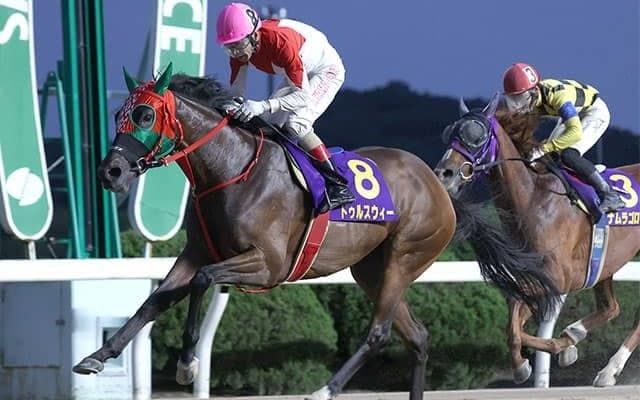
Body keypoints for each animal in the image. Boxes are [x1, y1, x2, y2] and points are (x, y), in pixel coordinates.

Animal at [72, 64, 559, 399]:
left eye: (145, 115)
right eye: (118, 114)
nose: (110, 172)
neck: (230, 171)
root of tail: (440, 186)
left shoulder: (267, 265)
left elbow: (204, 282)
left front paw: (187, 364)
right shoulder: (194, 253)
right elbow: (155, 300)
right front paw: (96, 357)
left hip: (406, 256)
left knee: (379, 333)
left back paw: (325, 388)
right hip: (371, 269)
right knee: (418, 337)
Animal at [434, 92, 640, 387]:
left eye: (477, 135)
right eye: (450, 133)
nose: (444, 174)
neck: (533, 198)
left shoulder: (560, 278)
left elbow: (517, 322)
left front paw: (545, 354)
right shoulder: (536, 274)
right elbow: (514, 313)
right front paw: (555, 351)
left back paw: (609, 370)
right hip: (606, 264)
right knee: (611, 307)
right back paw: (576, 334)